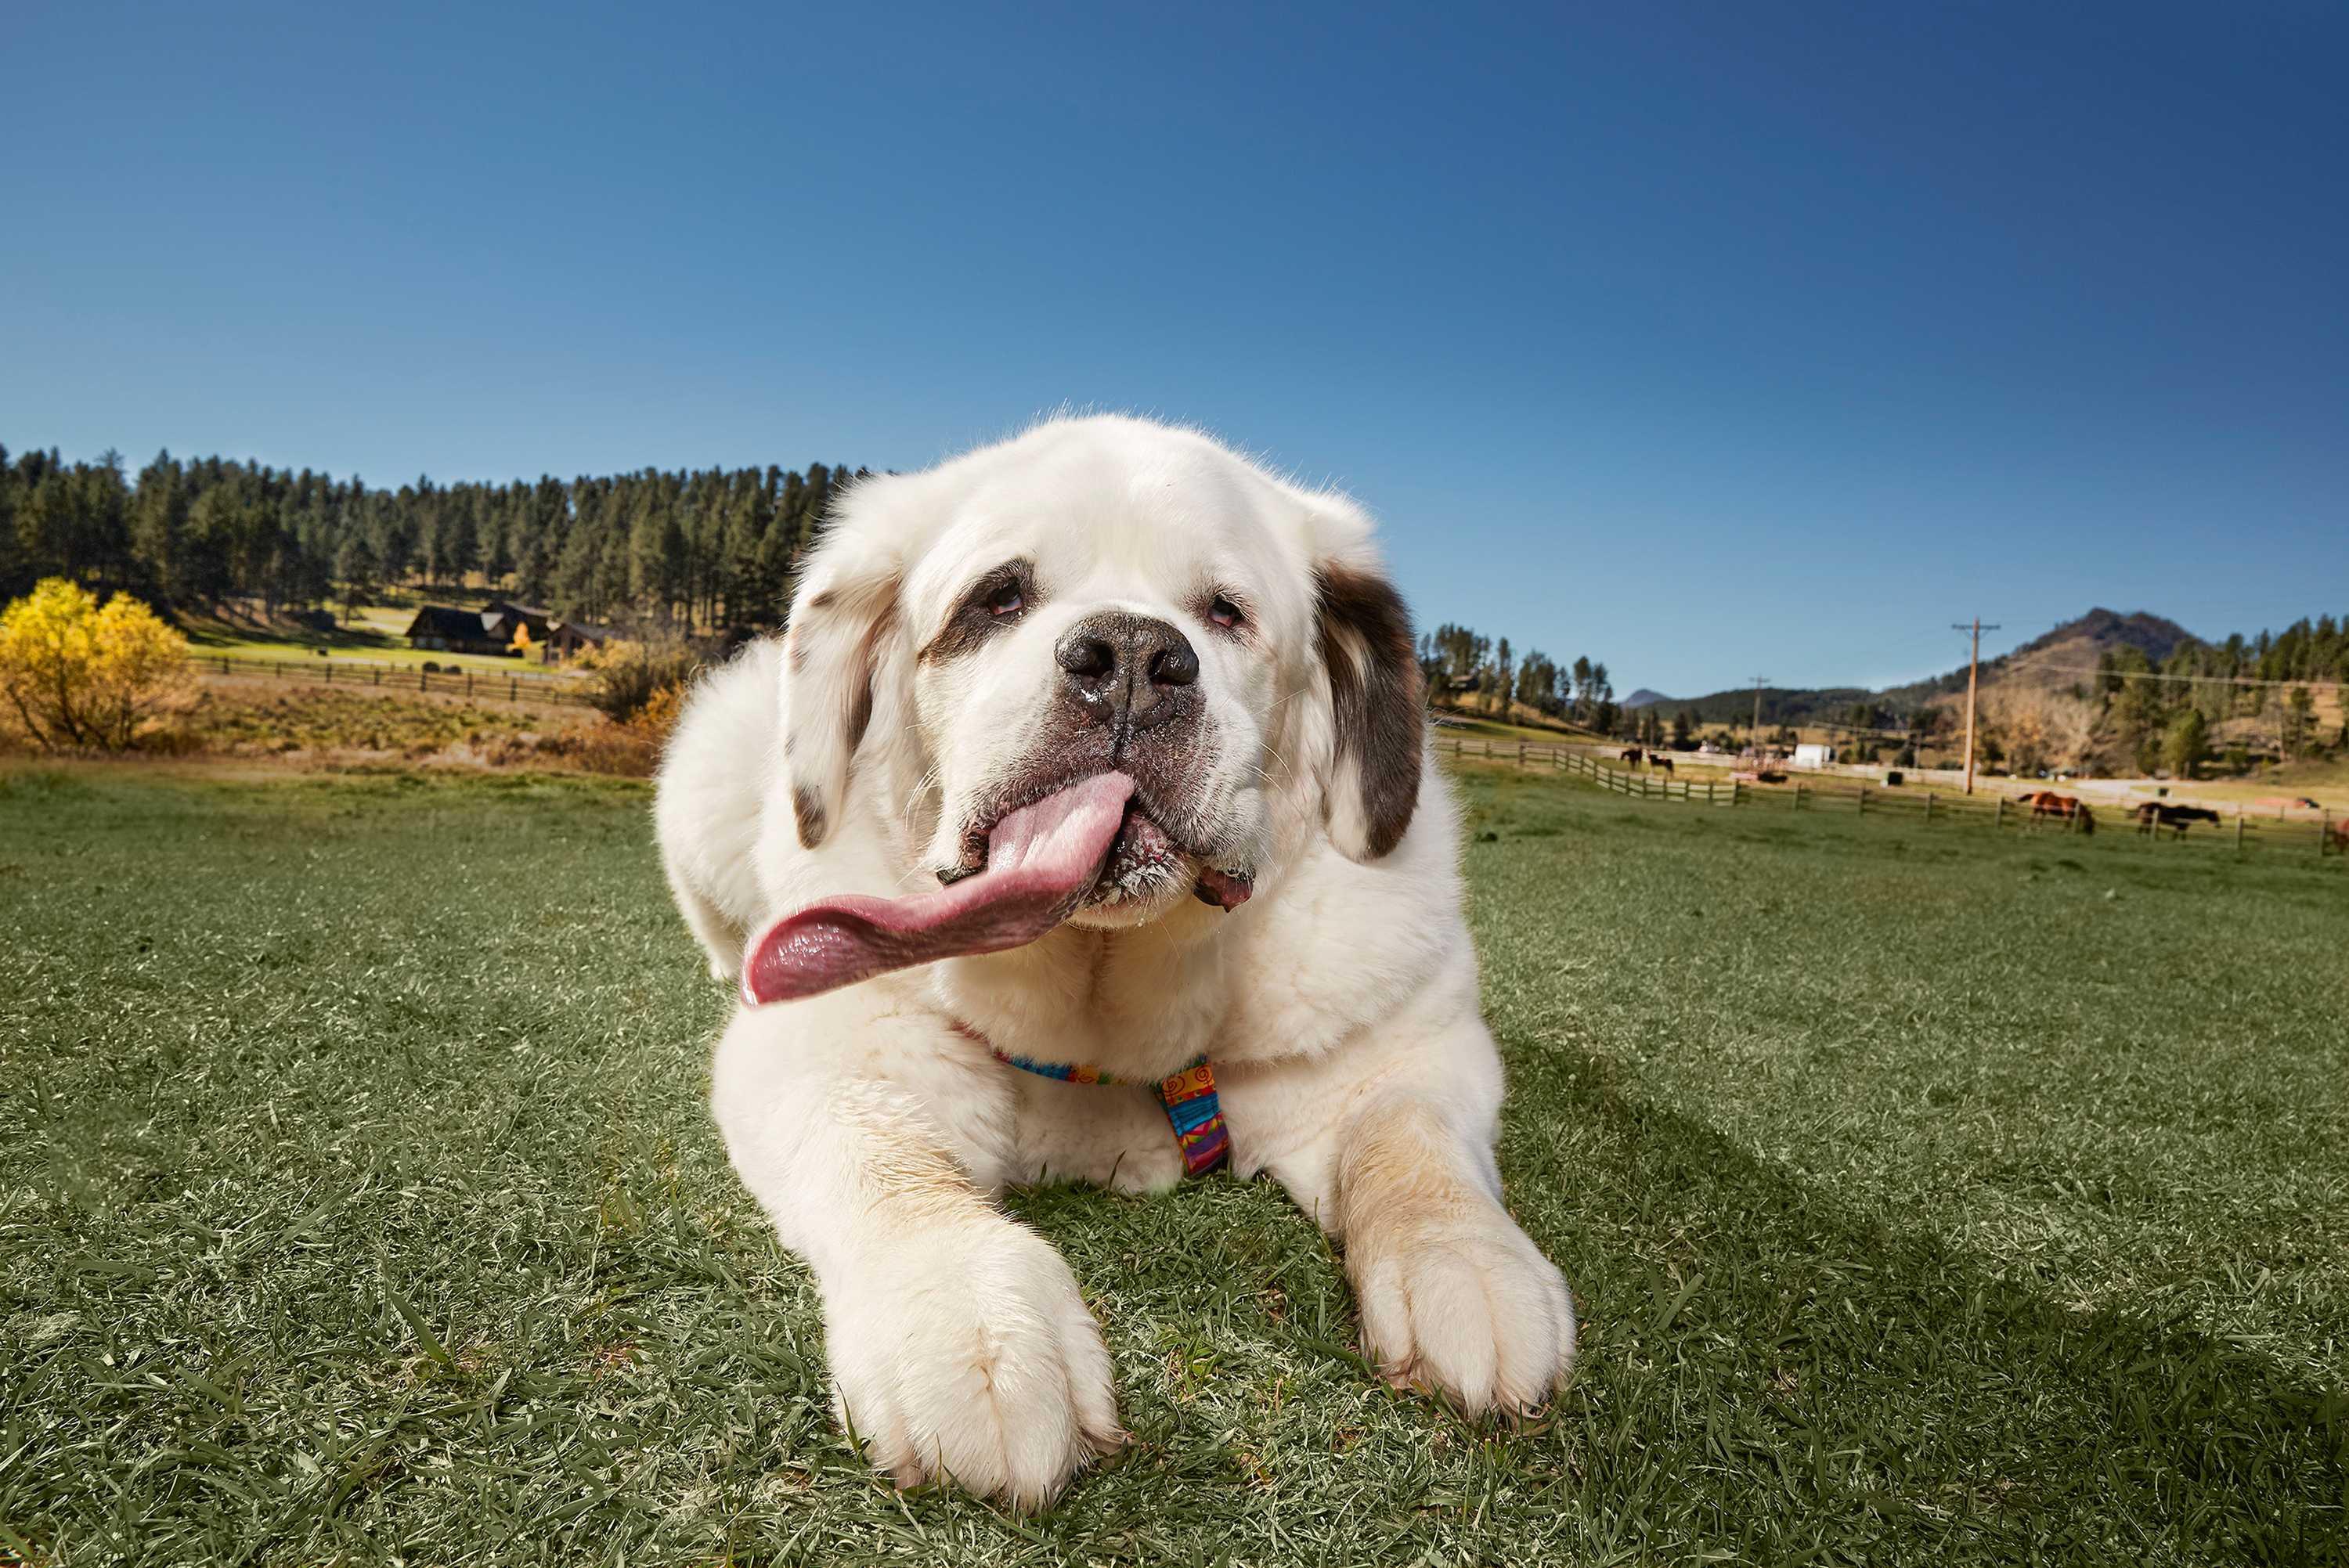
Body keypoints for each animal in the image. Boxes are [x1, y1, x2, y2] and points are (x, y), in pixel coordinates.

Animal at [658, 413, 1579, 1502]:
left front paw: (1470, 1271)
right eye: (998, 597)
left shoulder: (1415, 1041)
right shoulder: (818, 1047)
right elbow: (887, 1155)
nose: (1133, 653)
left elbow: (1411, 1142)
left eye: (1225, 611)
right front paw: (974, 1327)